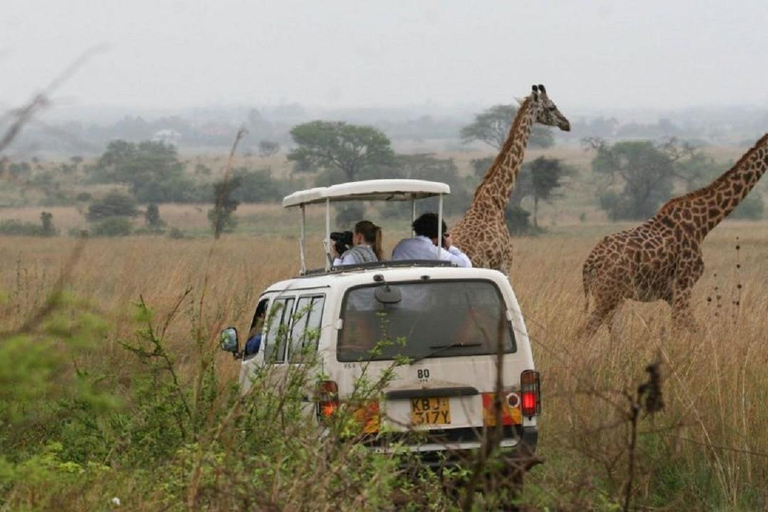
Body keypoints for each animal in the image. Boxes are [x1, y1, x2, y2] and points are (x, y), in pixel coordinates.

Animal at [584, 132, 768, 336]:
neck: (703, 224)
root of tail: (589, 264)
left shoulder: (672, 294)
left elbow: (694, 329)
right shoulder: (683, 285)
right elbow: (680, 330)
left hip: (614, 297)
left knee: (613, 334)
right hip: (607, 295)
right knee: (584, 331)